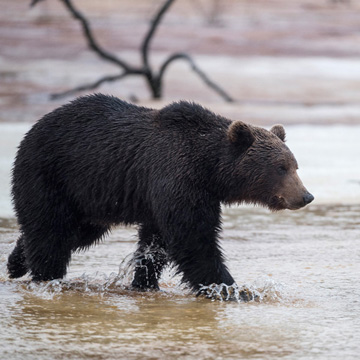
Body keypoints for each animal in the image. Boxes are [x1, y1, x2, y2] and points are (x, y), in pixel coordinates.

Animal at [7, 93, 314, 298]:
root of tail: (35, 127)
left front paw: (145, 282)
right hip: (50, 173)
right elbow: (194, 239)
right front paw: (233, 289)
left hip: (88, 197)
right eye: (280, 167)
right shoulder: (176, 178)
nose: (306, 196)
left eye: (295, 165)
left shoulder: (168, 195)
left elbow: (156, 242)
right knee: (50, 230)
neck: (210, 169)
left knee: (73, 232)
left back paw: (16, 263)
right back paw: (46, 278)